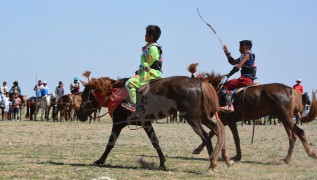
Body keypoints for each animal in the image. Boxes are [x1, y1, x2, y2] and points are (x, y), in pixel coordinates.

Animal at [75, 74, 231, 173]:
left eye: (85, 95)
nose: (79, 114)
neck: (115, 94)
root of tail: (198, 82)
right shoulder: (146, 124)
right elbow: (155, 142)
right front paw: (162, 162)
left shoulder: (118, 124)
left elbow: (110, 144)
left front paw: (100, 160)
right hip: (203, 117)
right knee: (217, 130)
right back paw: (224, 158)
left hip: (192, 118)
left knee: (206, 136)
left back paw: (212, 164)